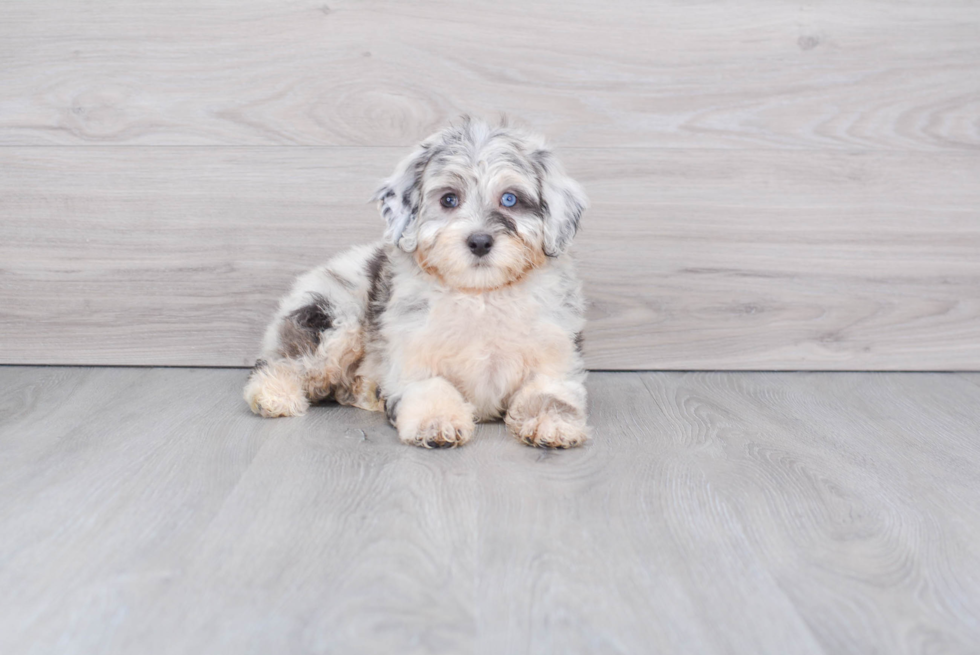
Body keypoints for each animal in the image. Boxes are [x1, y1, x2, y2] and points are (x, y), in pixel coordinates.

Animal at [245, 115, 588, 448]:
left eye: (510, 199)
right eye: (449, 199)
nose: (480, 241)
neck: (481, 295)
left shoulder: (556, 357)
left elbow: (550, 393)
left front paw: (551, 424)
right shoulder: (412, 357)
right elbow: (431, 388)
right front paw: (437, 422)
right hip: (334, 320)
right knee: (284, 362)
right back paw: (273, 395)